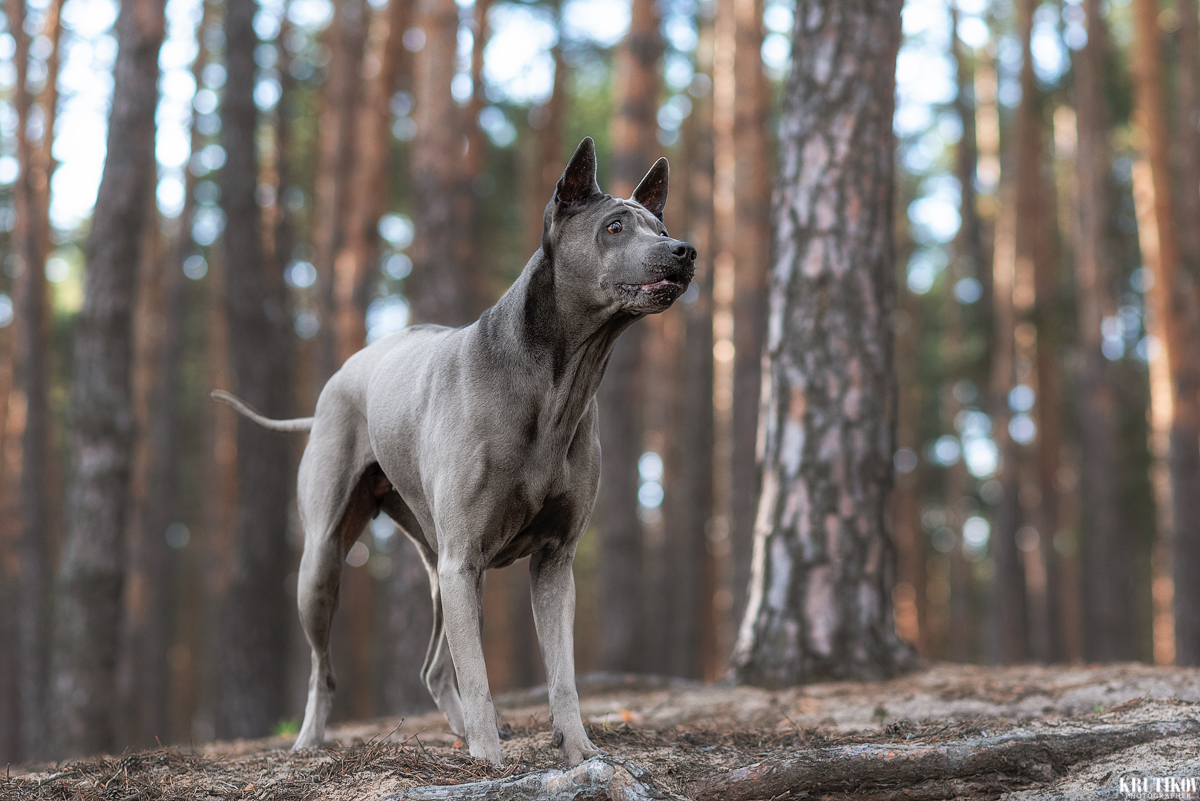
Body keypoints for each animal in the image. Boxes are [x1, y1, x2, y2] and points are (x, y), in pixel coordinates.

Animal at [214, 136, 700, 762]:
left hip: (442, 567)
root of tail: (339, 378)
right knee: (324, 668)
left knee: (432, 668)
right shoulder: (463, 558)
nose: (684, 250)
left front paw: (580, 751)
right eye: (614, 227)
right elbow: (479, 675)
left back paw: (460, 729)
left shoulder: (553, 560)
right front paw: (491, 759)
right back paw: (309, 741)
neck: (556, 384)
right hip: (326, 563)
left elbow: (562, 674)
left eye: (659, 226)